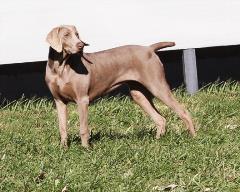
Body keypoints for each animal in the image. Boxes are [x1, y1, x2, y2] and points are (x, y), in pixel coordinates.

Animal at [45, 24, 195, 148]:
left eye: (77, 34)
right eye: (66, 35)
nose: (81, 45)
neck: (61, 68)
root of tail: (149, 48)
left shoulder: (82, 100)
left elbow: (83, 128)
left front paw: (86, 149)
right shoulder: (59, 101)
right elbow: (62, 127)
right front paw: (63, 149)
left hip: (157, 86)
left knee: (183, 111)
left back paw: (193, 137)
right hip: (138, 94)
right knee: (160, 119)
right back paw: (157, 141)